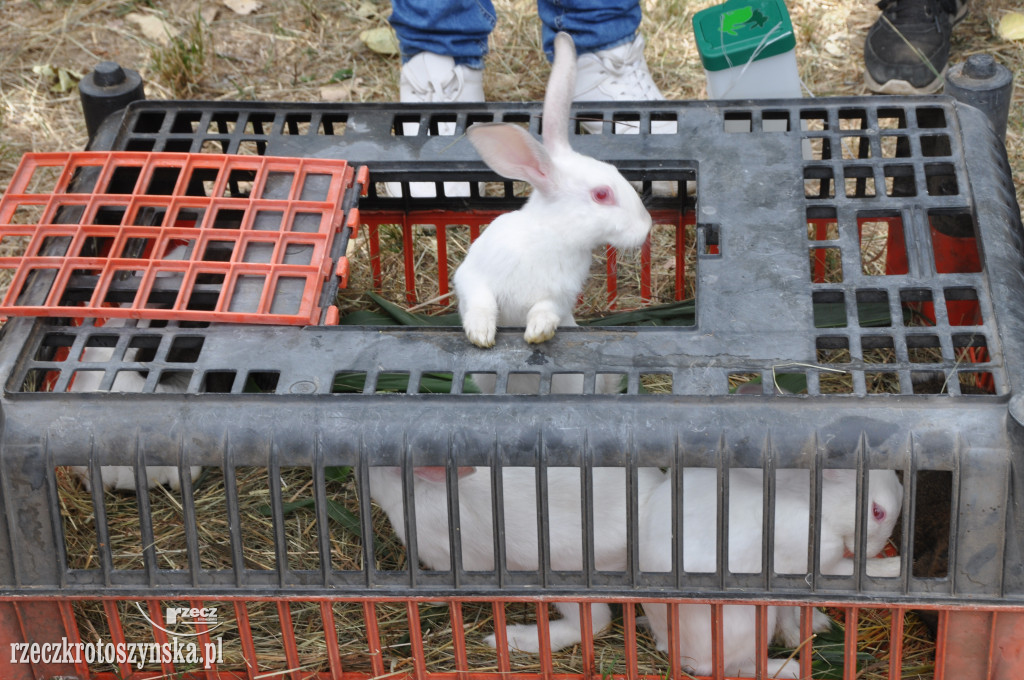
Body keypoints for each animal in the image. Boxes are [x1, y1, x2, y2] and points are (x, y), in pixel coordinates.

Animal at [454, 31, 651, 348]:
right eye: (601, 194)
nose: (647, 227)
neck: (551, 236)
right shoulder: (472, 275)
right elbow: (480, 300)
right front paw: (480, 334)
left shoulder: (560, 297)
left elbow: (545, 309)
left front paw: (537, 333)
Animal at [638, 464, 905, 675]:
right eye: (877, 511)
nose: (875, 550)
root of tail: (668, 644)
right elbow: (852, 571)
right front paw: (896, 565)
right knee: (721, 667)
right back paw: (790, 668)